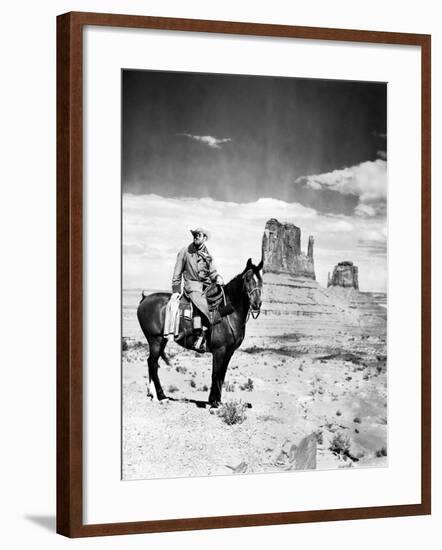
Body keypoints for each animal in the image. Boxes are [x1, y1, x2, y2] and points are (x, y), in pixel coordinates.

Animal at [137, 260, 262, 410]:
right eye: (248, 279)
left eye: (261, 280)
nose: (257, 304)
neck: (229, 313)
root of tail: (144, 299)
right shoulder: (219, 350)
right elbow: (216, 374)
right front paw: (214, 403)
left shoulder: (229, 352)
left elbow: (222, 375)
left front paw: (217, 401)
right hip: (155, 340)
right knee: (153, 364)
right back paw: (161, 396)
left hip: (162, 341)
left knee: (152, 363)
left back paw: (153, 395)